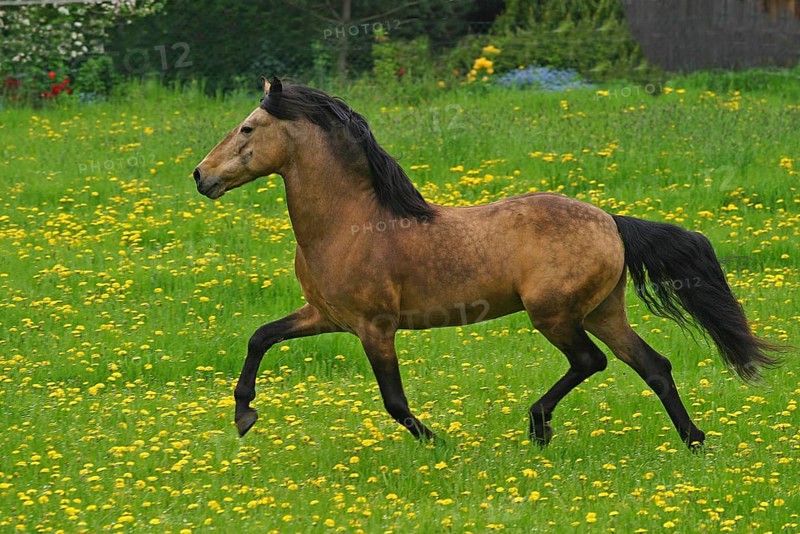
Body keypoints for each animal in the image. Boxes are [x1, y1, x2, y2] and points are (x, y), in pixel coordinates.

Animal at [193, 77, 781, 450]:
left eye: (247, 129)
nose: (201, 176)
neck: (352, 223)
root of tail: (611, 221)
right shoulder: (326, 316)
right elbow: (261, 337)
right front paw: (244, 416)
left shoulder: (374, 327)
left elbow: (393, 400)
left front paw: (438, 443)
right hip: (602, 311)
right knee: (653, 366)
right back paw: (695, 441)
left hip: (554, 314)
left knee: (591, 362)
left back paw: (539, 427)